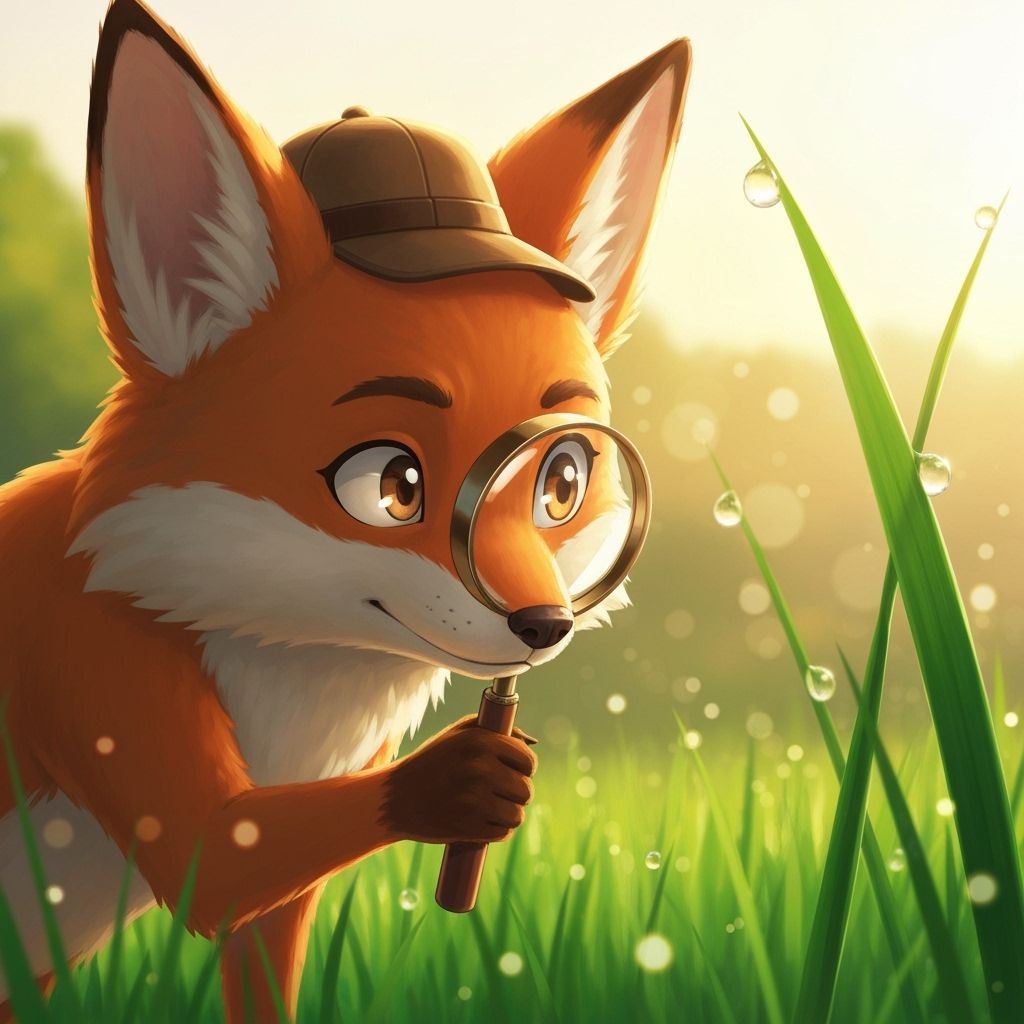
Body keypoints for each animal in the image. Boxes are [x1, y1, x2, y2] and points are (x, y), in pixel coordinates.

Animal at [0, 0, 691, 1019]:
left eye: (562, 481)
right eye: (391, 483)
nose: (542, 625)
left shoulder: (286, 894)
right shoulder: (90, 663)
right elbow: (215, 860)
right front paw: (459, 782)